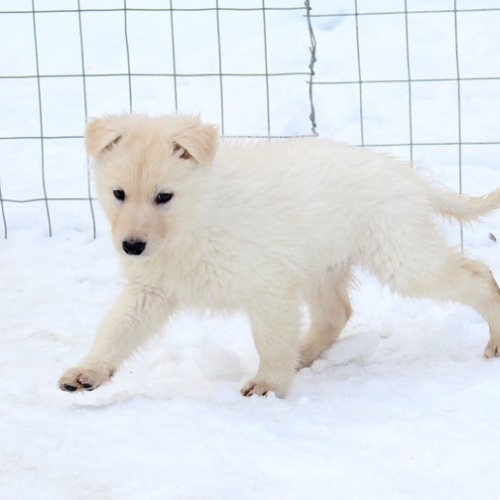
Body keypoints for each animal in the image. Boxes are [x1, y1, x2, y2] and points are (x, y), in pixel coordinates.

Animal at [58, 114, 500, 398]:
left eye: (163, 196)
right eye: (118, 193)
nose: (131, 247)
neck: (197, 218)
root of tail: (408, 176)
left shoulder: (269, 289)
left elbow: (269, 342)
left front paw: (268, 386)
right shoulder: (150, 289)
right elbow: (115, 329)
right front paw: (87, 372)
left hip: (402, 257)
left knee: (478, 275)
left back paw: (495, 340)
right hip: (323, 265)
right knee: (336, 313)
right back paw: (301, 354)